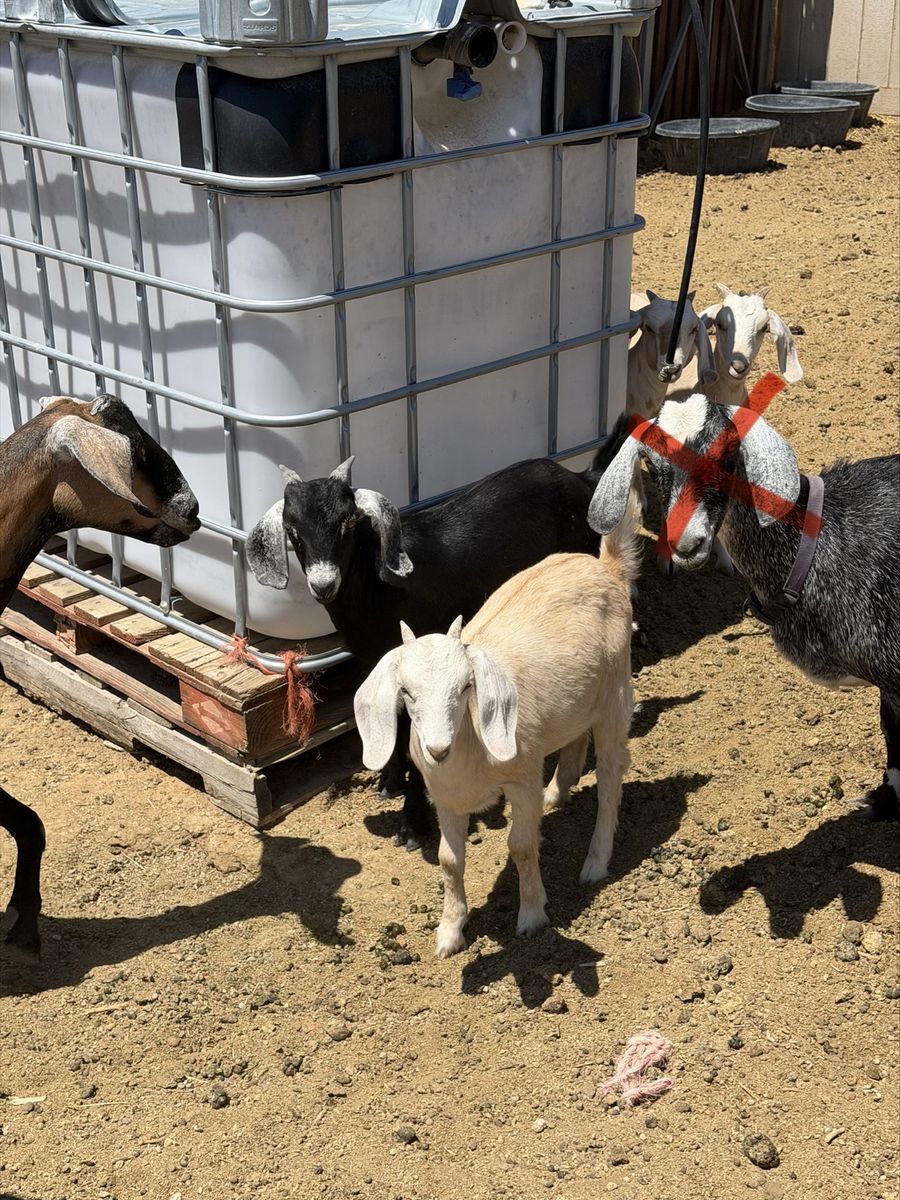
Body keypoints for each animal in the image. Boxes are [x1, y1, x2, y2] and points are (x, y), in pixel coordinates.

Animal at [247, 456, 605, 850]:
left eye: (348, 523)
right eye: (292, 529)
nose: (324, 584)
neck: (379, 588)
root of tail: (579, 478)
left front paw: (413, 824)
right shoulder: (376, 660)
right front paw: (390, 779)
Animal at [353, 499, 640, 957]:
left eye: (466, 686)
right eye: (406, 692)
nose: (437, 749)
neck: (468, 749)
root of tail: (606, 567)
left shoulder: (521, 778)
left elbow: (521, 847)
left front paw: (532, 915)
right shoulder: (445, 797)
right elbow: (449, 861)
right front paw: (450, 931)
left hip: (616, 691)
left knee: (612, 775)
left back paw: (595, 862)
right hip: (580, 698)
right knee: (574, 738)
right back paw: (558, 790)